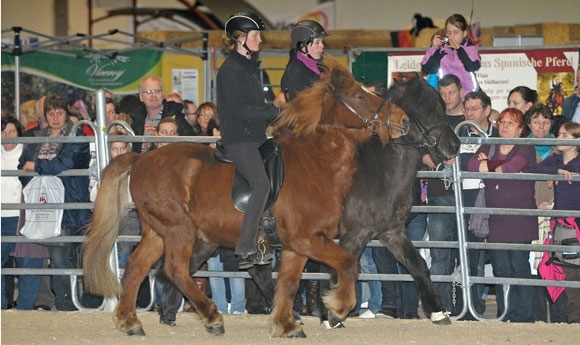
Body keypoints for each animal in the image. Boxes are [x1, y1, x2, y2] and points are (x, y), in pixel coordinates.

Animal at [81, 57, 410, 338]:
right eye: (360, 97)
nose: (404, 121)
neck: (315, 161)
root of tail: (141, 159)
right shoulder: (307, 239)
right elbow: (348, 264)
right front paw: (338, 308)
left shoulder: (297, 246)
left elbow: (288, 285)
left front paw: (287, 325)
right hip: (178, 230)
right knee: (174, 270)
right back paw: (212, 318)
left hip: (156, 231)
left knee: (137, 267)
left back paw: (130, 322)